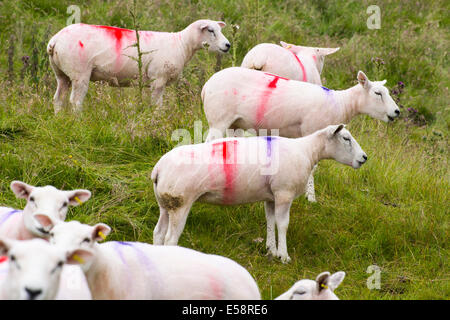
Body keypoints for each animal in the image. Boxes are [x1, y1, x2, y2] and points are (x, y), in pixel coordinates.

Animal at [47, 19, 230, 112]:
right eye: (211, 31)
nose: (227, 45)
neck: (182, 44)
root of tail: (55, 40)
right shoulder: (158, 79)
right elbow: (157, 106)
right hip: (80, 72)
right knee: (75, 101)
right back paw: (79, 122)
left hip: (61, 74)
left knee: (58, 99)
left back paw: (59, 119)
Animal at [153, 123, 368, 262]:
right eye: (346, 138)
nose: (364, 158)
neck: (307, 151)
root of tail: (158, 169)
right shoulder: (284, 193)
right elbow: (283, 224)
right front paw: (284, 256)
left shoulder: (271, 197)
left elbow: (270, 221)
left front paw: (271, 250)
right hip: (180, 202)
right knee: (170, 239)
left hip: (165, 204)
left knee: (158, 233)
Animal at [202, 67, 400, 202]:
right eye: (378, 93)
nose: (397, 112)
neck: (341, 104)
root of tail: (207, 85)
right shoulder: (313, 131)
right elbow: (313, 167)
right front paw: (310, 197)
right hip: (219, 118)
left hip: (235, 123)